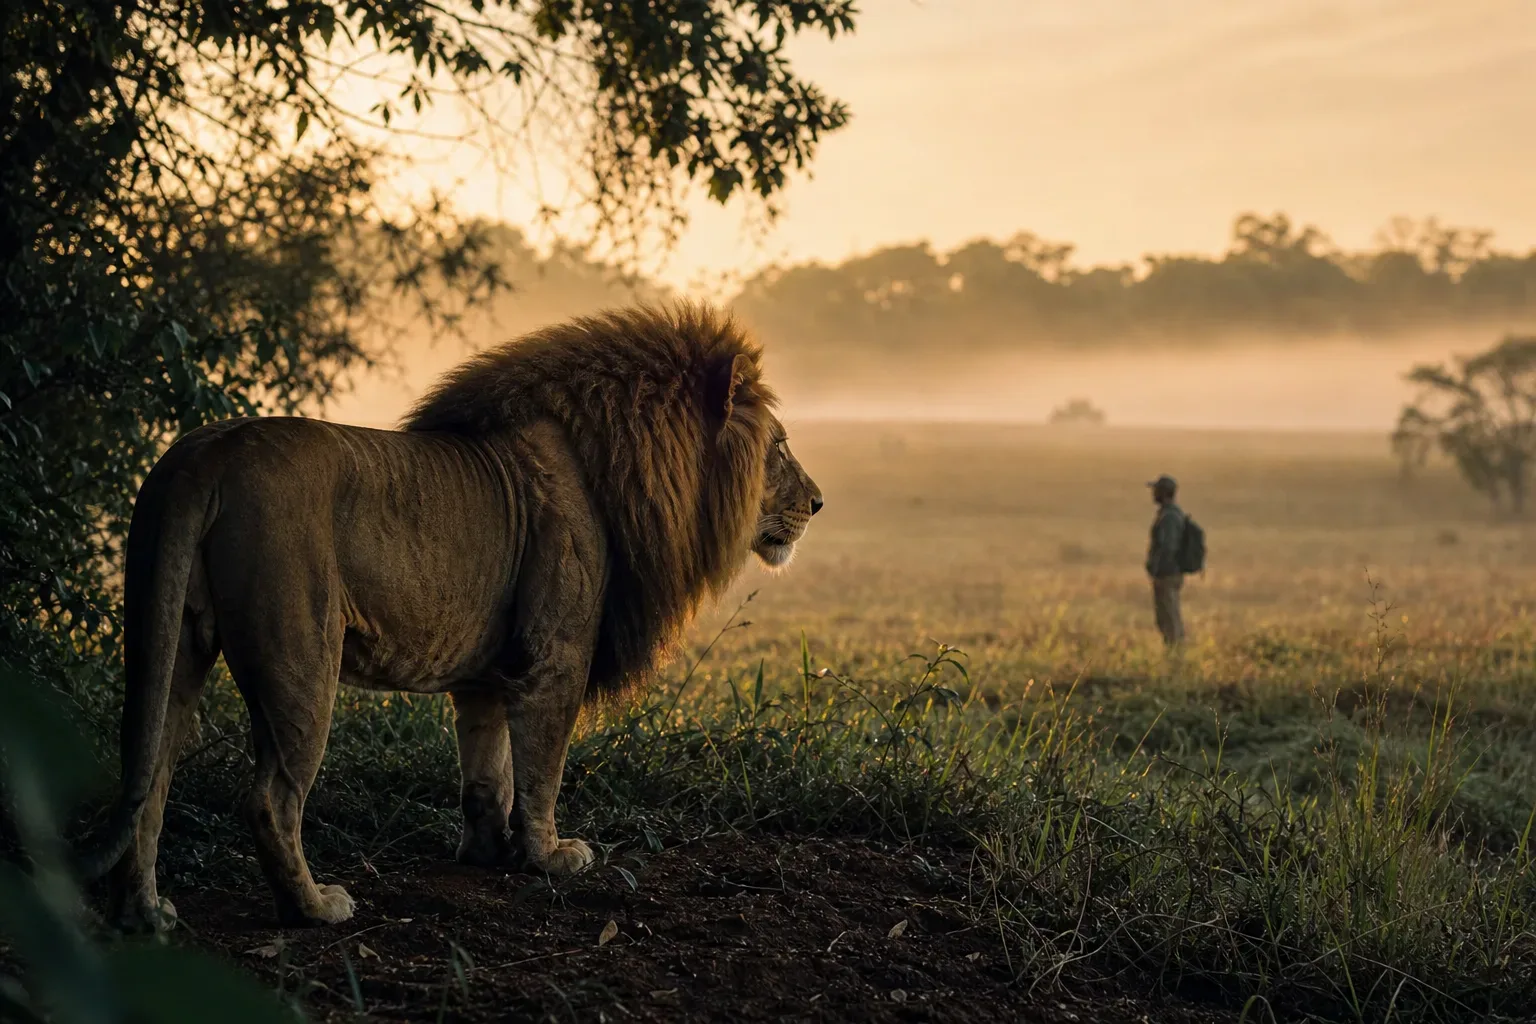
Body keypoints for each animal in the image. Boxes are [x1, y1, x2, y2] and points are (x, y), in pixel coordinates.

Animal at [78, 302, 823, 931]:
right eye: (780, 447)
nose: (818, 503)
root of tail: (204, 455)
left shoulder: (491, 672)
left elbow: (487, 770)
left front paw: (490, 852)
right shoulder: (556, 656)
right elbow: (543, 766)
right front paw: (550, 856)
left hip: (171, 640)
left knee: (149, 777)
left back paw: (144, 914)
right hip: (301, 656)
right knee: (270, 799)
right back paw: (315, 908)